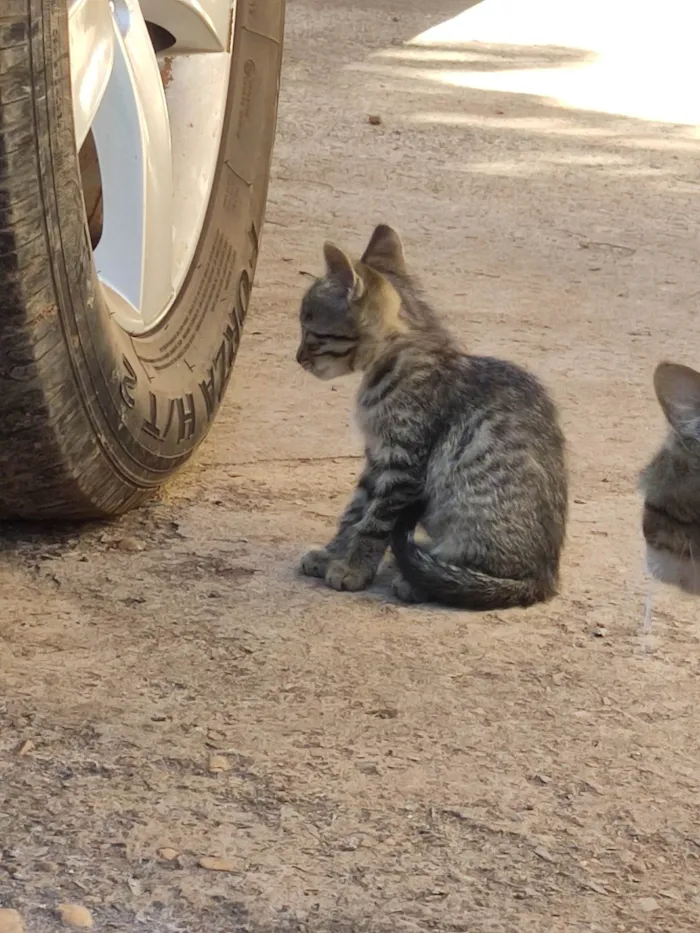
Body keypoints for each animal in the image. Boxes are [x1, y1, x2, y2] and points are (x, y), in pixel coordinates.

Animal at [296, 222, 568, 608]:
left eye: (311, 333)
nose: (298, 357)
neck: (394, 362)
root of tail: (544, 579)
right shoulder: (377, 459)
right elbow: (353, 513)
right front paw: (333, 553)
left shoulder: (404, 463)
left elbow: (373, 524)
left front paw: (353, 568)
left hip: (466, 510)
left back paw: (420, 579)